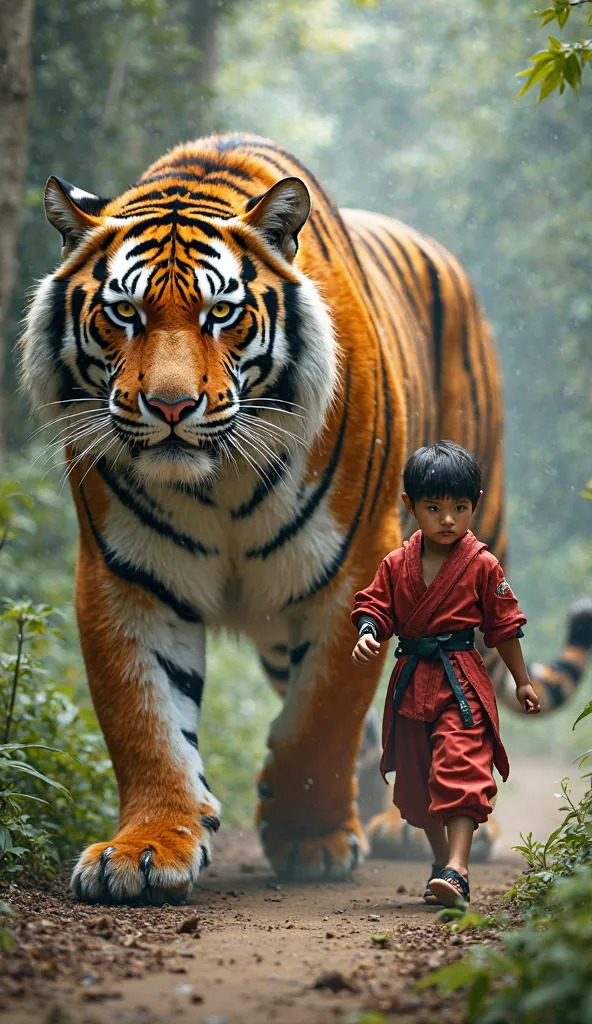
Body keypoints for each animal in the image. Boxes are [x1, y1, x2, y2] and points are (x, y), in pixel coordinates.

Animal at [21, 130, 589, 905]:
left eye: (220, 314)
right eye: (125, 314)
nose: (170, 407)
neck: (216, 481)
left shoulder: (354, 565)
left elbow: (322, 719)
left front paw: (310, 838)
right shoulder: (125, 575)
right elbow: (146, 721)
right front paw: (144, 850)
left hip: (479, 528)